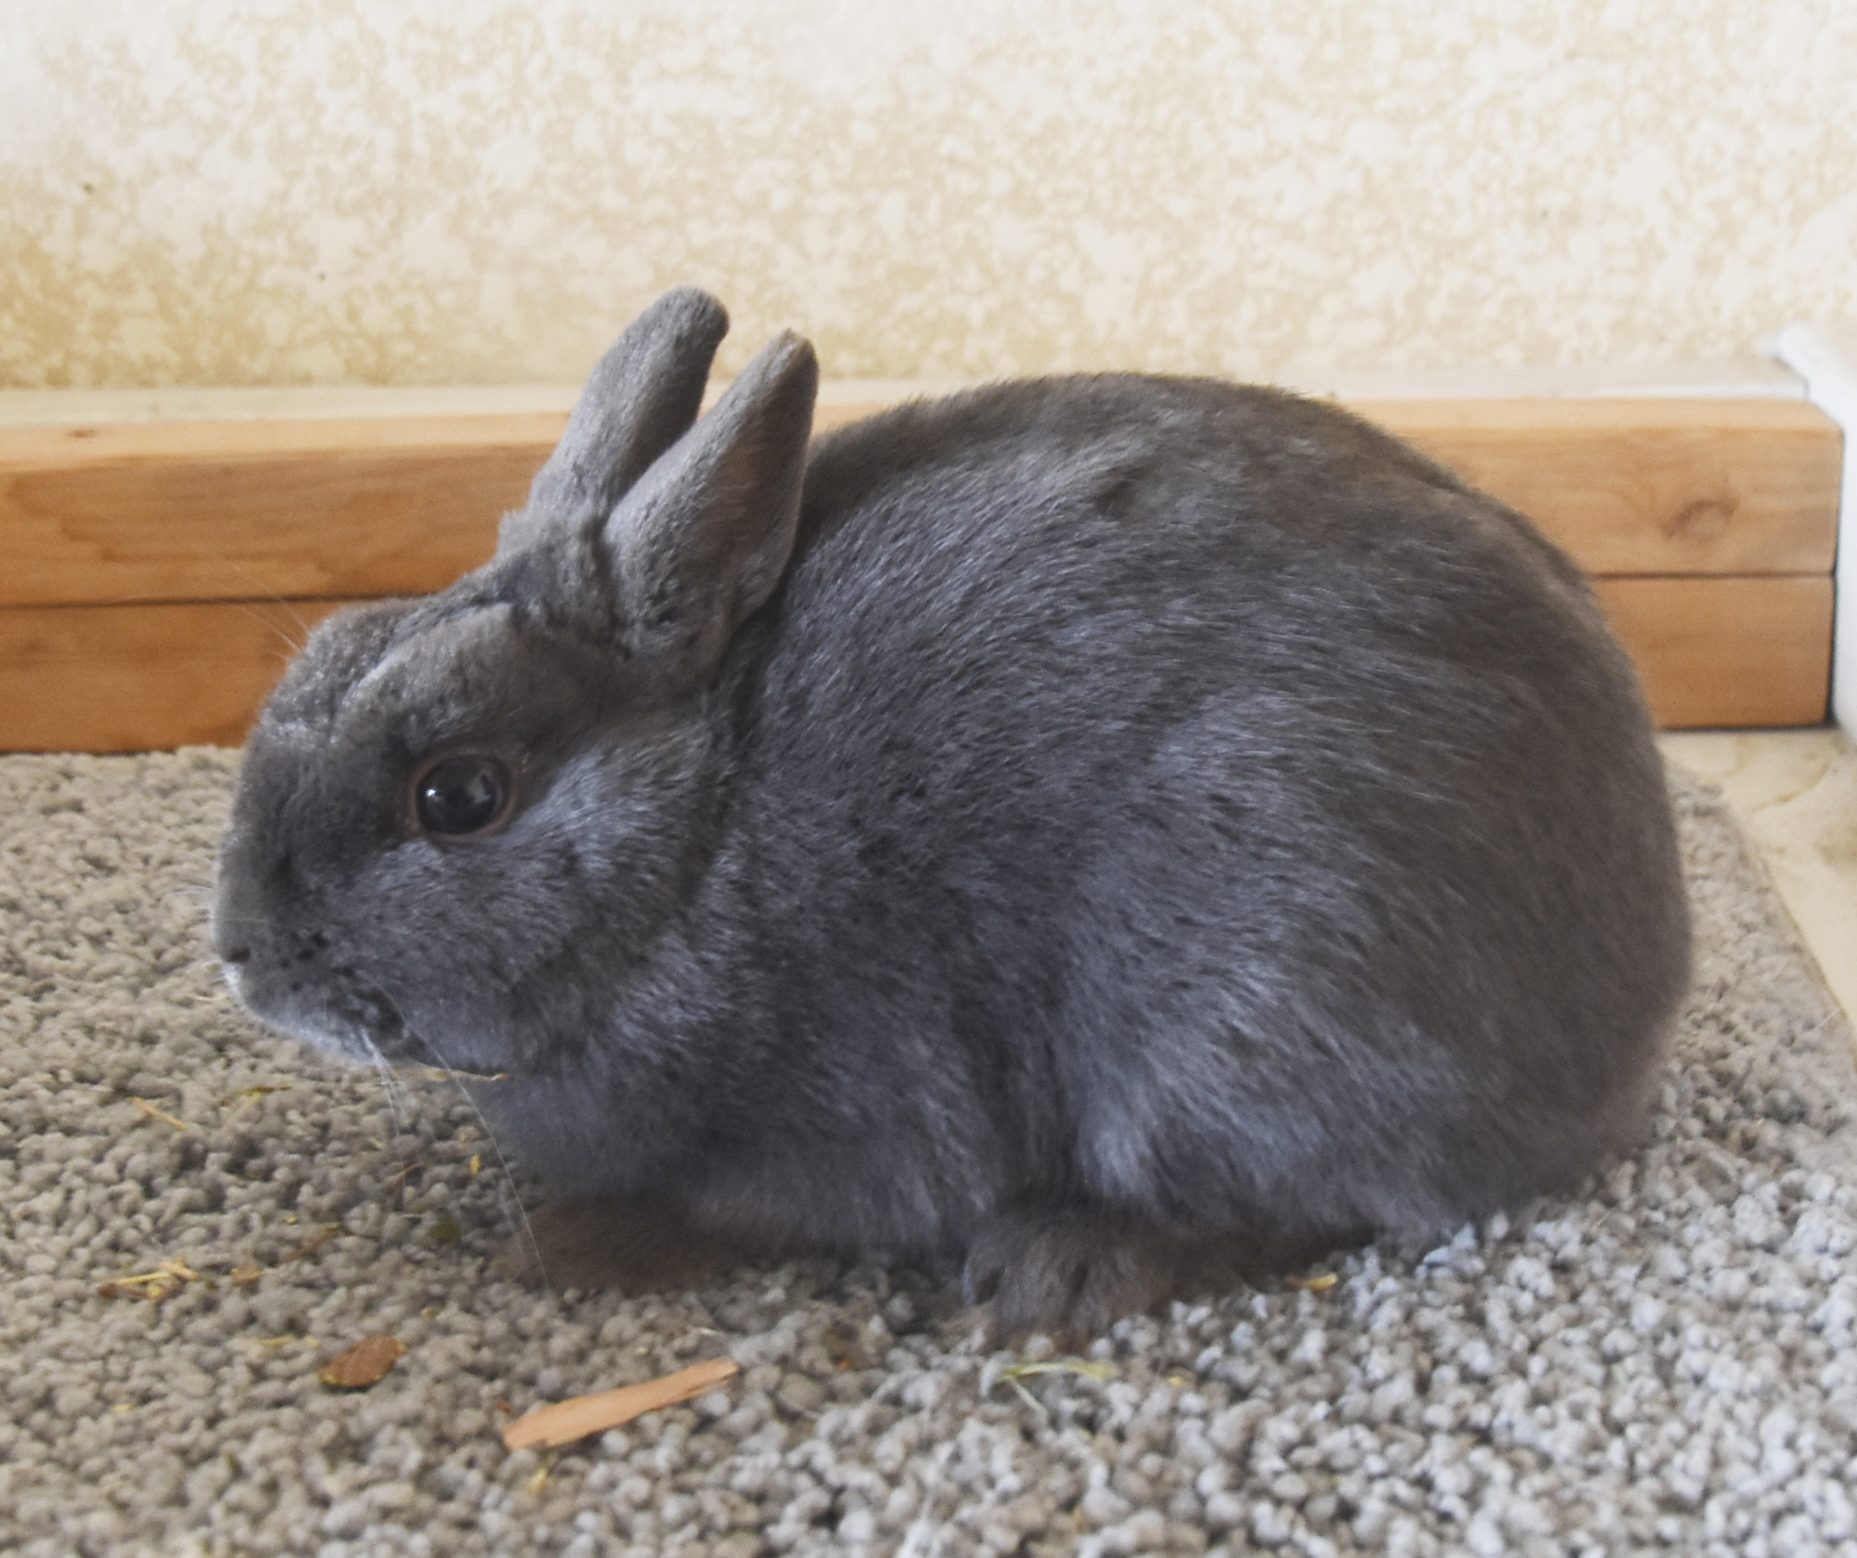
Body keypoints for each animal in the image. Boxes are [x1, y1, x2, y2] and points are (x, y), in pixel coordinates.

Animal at [213, 285, 1690, 1341]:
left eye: (457, 795)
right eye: (331, 646)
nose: (238, 952)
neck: (695, 851)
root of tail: (1632, 1007)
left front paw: (557, 1248)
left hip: (1249, 1009)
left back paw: (1059, 1266)